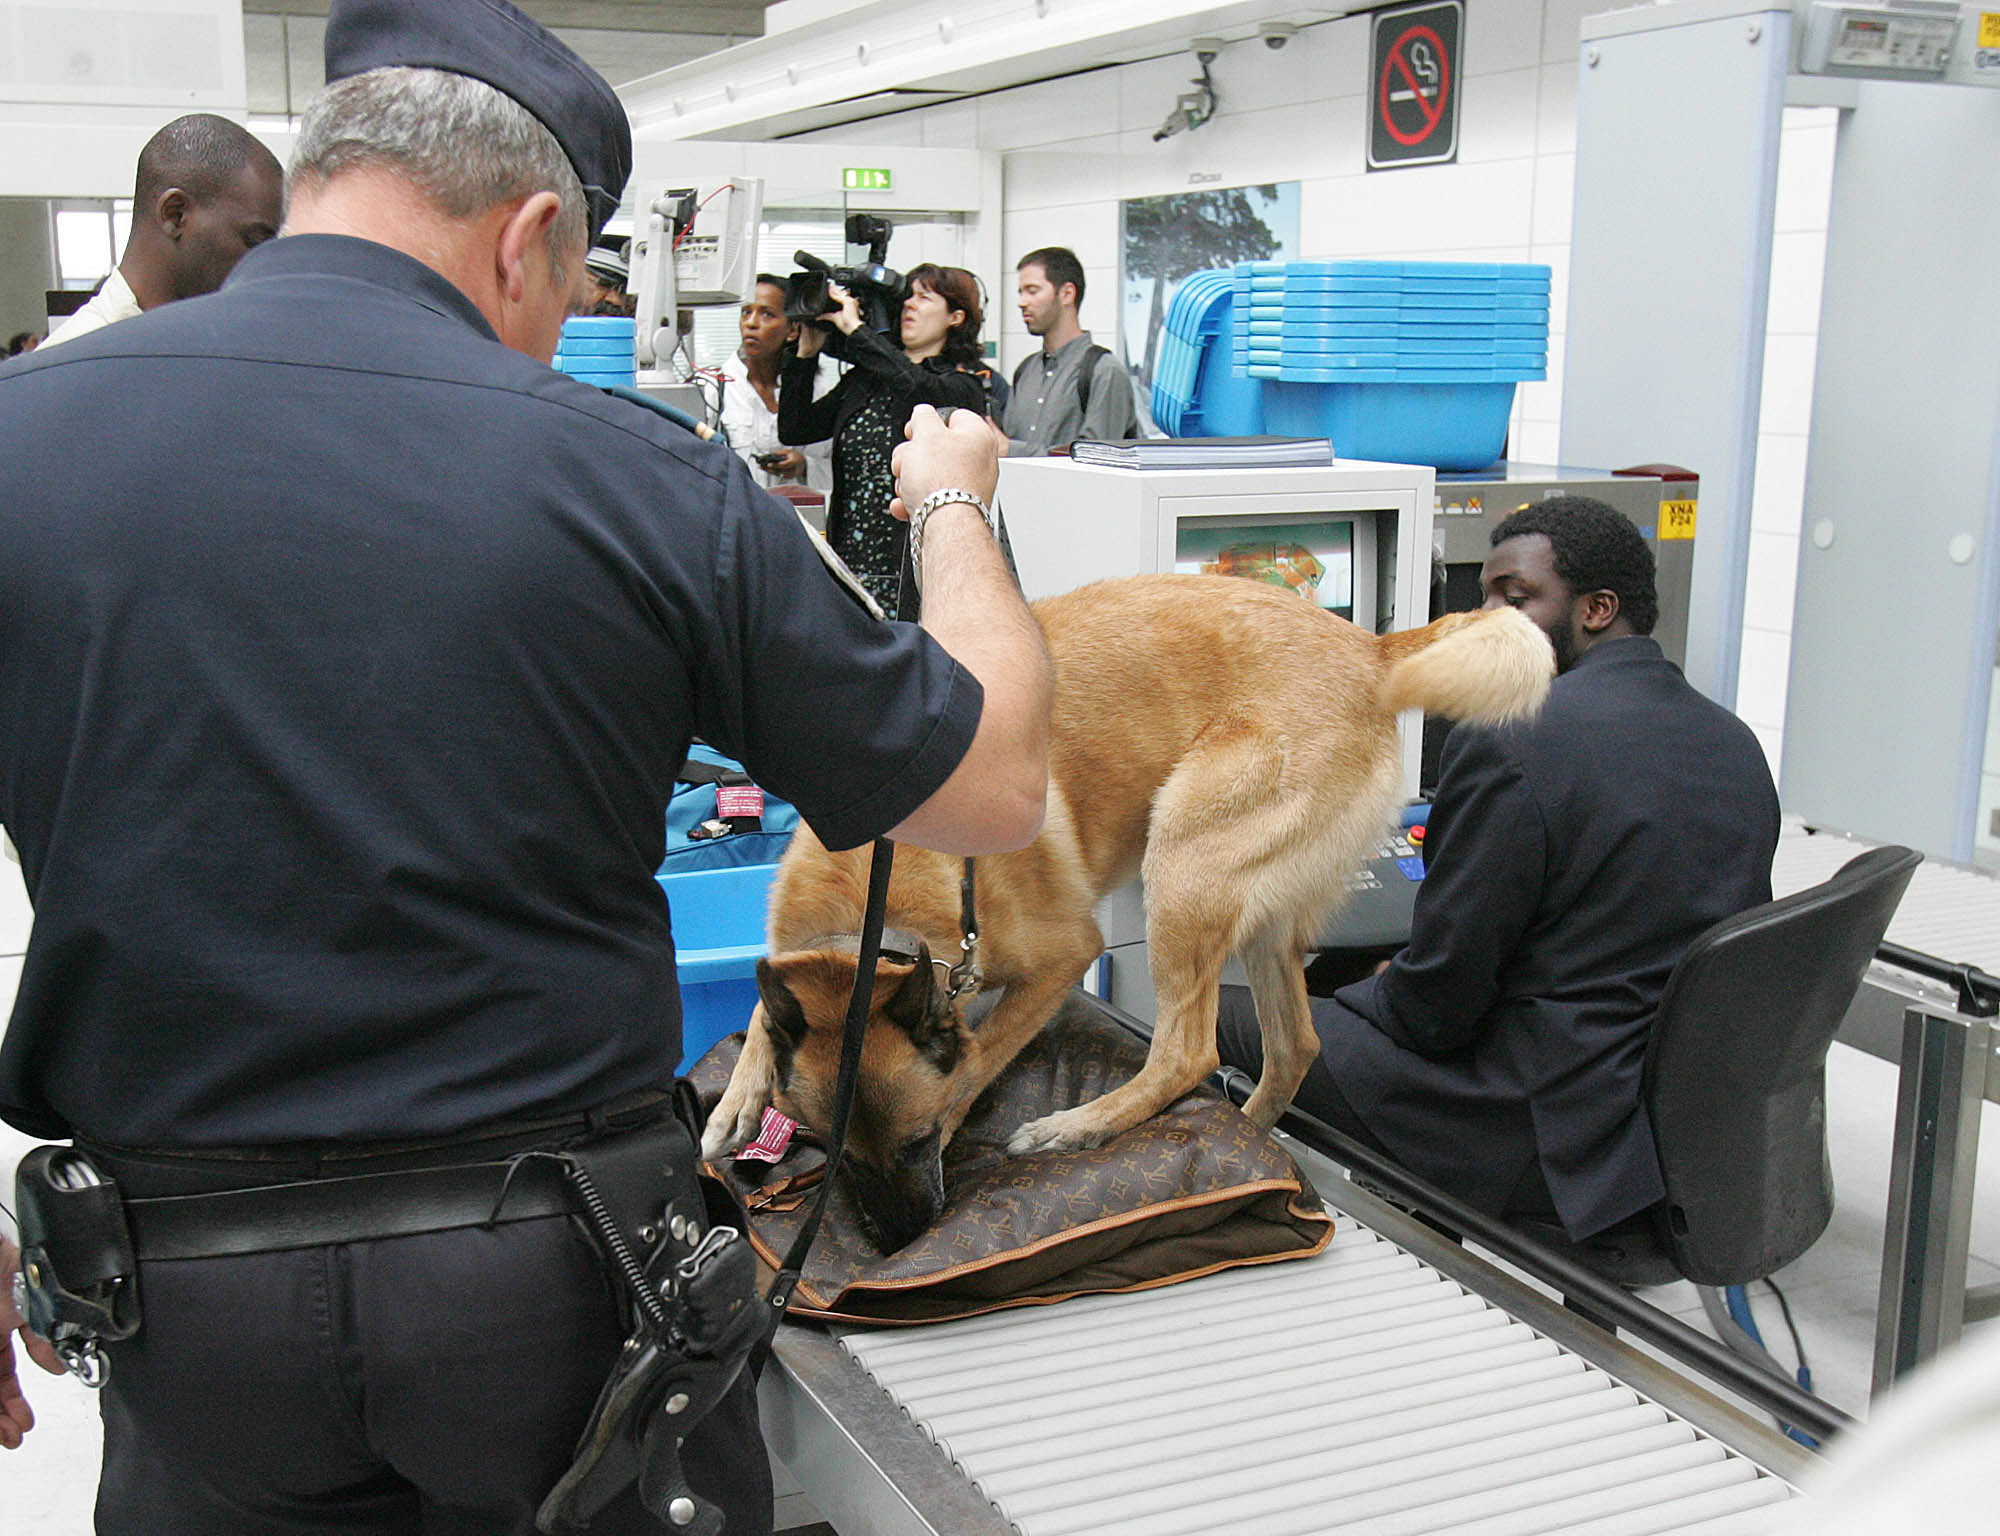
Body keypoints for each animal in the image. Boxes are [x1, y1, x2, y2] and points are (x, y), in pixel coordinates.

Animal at [704, 572, 1560, 1248]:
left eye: (917, 1142)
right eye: (836, 1153)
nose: (898, 1242)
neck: (867, 913)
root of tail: (1370, 651)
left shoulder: (1064, 956)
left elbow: (983, 1053)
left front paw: (966, 1104)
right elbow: (761, 1008)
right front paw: (737, 1101)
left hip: (1181, 860)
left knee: (1188, 1050)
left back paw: (1081, 1125)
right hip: (1259, 916)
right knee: (1295, 1045)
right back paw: (1253, 1129)